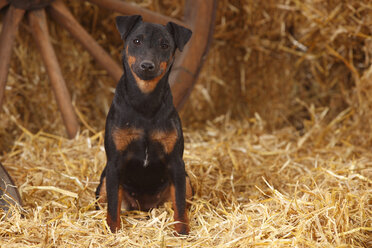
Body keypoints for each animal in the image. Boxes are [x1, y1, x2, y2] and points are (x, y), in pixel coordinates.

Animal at [96, 14, 193, 235]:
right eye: (136, 41)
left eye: (165, 45)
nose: (147, 65)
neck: (145, 103)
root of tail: (145, 206)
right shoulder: (114, 163)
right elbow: (113, 205)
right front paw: (113, 231)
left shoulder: (176, 163)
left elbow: (180, 203)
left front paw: (182, 231)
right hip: (104, 182)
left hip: (187, 180)